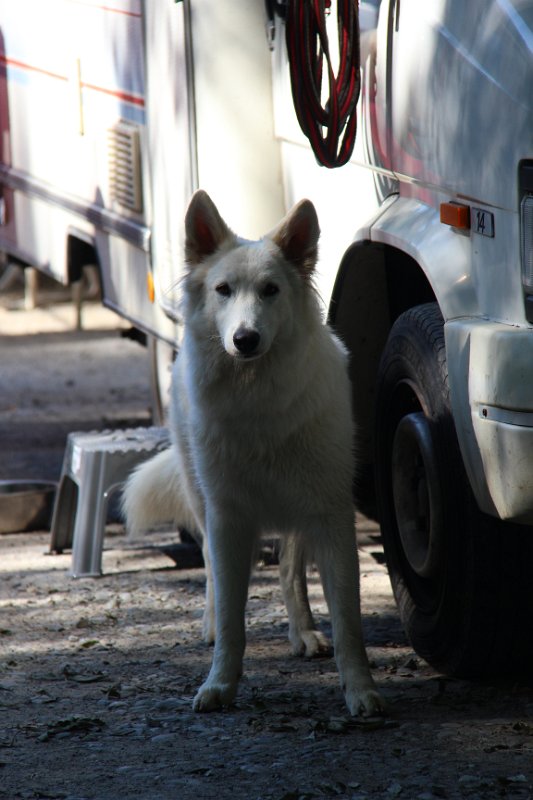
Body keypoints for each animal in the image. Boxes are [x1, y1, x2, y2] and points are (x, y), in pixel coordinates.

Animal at [123, 191, 384, 716]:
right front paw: (220, 684)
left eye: (270, 291)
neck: (257, 395)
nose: (245, 340)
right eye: (223, 290)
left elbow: (348, 619)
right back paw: (209, 622)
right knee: (208, 563)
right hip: (200, 496)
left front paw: (360, 689)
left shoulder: (331, 514)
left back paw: (303, 632)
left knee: (288, 568)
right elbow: (231, 613)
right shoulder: (227, 517)